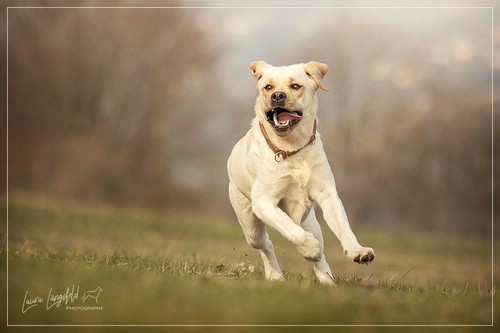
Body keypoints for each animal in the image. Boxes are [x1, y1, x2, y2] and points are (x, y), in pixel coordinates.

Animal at [229, 60, 374, 282]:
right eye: (268, 87)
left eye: (295, 86)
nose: (277, 96)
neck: (291, 147)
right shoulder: (263, 201)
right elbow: (292, 230)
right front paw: (310, 249)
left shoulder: (327, 194)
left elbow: (344, 228)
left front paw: (358, 251)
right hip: (249, 223)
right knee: (266, 243)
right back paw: (275, 275)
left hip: (310, 221)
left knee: (320, 253)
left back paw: (327, 280)